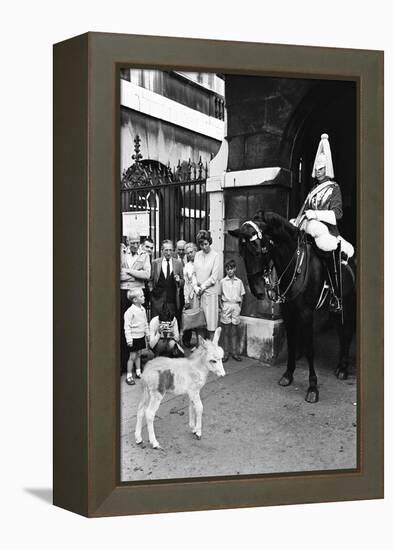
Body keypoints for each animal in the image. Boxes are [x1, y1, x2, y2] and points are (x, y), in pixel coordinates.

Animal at [230, 211, 356, 406]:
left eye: (258, 250)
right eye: (242, 253)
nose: (257, 292)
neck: (295, 264)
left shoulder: (306, 314)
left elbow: (310, 348)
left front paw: (312, 387)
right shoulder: (288, 312)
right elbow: (291, 343)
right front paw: (288, 375)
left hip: (348, 305)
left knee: (347, 332)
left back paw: (343, 369)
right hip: (335, 311)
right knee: (342, 333)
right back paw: (339, 367)